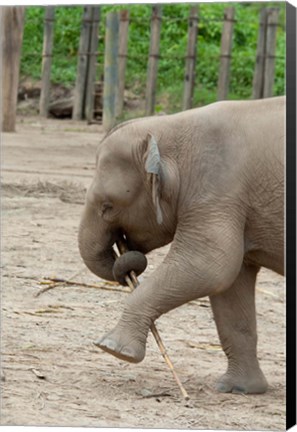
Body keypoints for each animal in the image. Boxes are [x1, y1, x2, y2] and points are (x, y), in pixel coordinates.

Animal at [78, 96, 284, 394]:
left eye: (108, 206)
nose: (125, 258)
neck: (171, 128)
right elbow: (231, 286)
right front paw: (237, 389)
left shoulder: (217, 192)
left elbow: (211, 266)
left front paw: (113, 349)